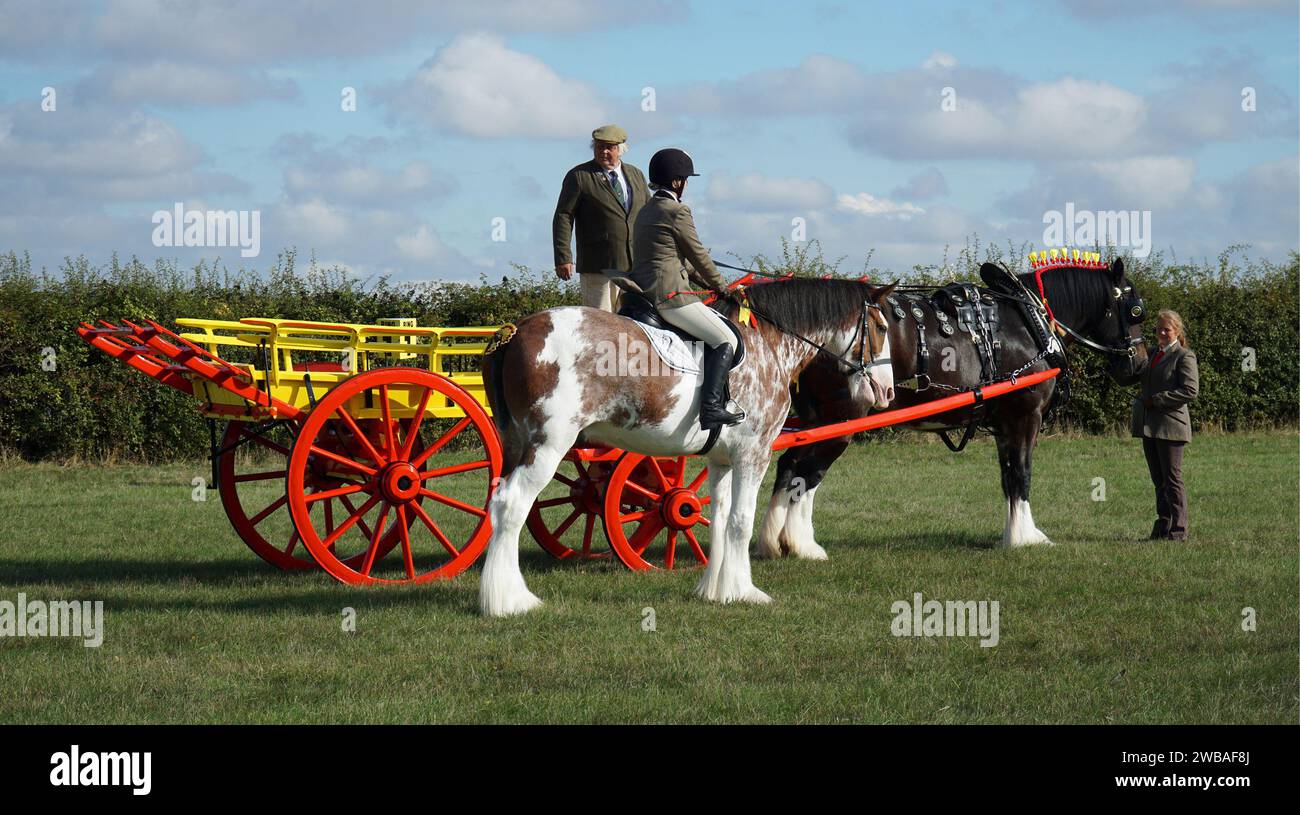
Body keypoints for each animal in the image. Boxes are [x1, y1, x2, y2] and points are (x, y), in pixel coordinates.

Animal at [478, 276, 894, 616]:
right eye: (882, 326)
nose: (888, 391)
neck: (767, 342)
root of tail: (515, 331)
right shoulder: (754, 453)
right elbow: (741, 521)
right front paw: (746, 592)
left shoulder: (722, 460)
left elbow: (721, 519)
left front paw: (718, 590)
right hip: (547, 446)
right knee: (512, 505)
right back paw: (510, 600)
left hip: (515, 444)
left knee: (499, 505)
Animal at [759, 258, 1144, 558]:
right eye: (1136, 310)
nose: (1138, 364)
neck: (1029, 319)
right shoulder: (1026, 416)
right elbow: (1022, 473)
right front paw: (1025, 537)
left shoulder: (1004, 424)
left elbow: (1007, 477)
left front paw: (1012, 532)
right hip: (842, 419)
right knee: (808, 473)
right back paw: (803, 545)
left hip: (813, 419)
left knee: (789, 465)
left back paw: (772, 541)